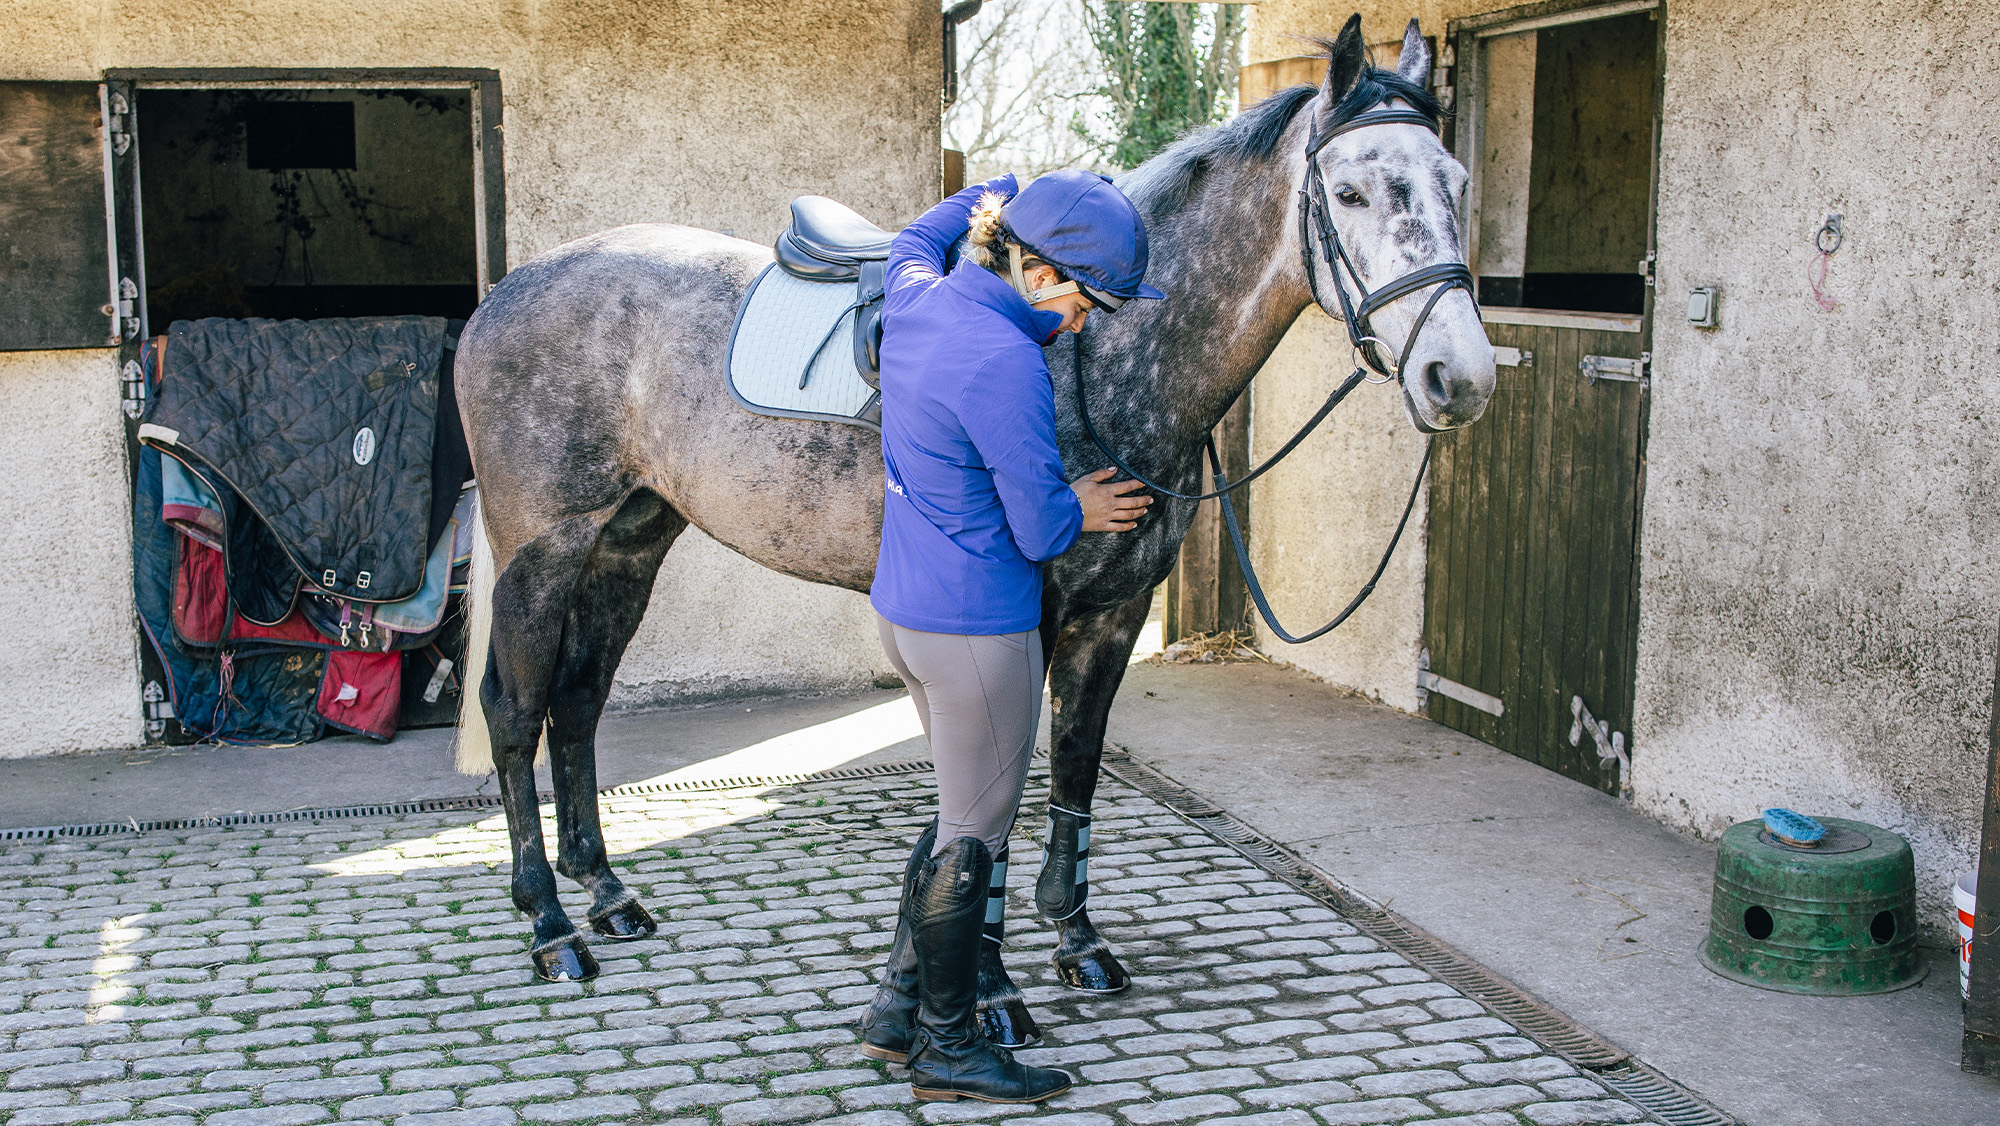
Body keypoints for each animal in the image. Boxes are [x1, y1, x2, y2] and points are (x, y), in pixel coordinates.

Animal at [450, 14, 1496, 1037]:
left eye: (1457, 183)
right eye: (1350, 192)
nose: (1461, 377)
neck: (1093, 358)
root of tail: (508, 291)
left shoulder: (1114, 616)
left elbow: (1073, 772)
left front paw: (1077, 941)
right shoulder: (1024, 623)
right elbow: (993, 805)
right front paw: (991, 991)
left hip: (629, 544)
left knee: (579, 702)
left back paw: (608, 895)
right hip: (545, 552)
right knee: (517, 711)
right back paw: (550, 927)